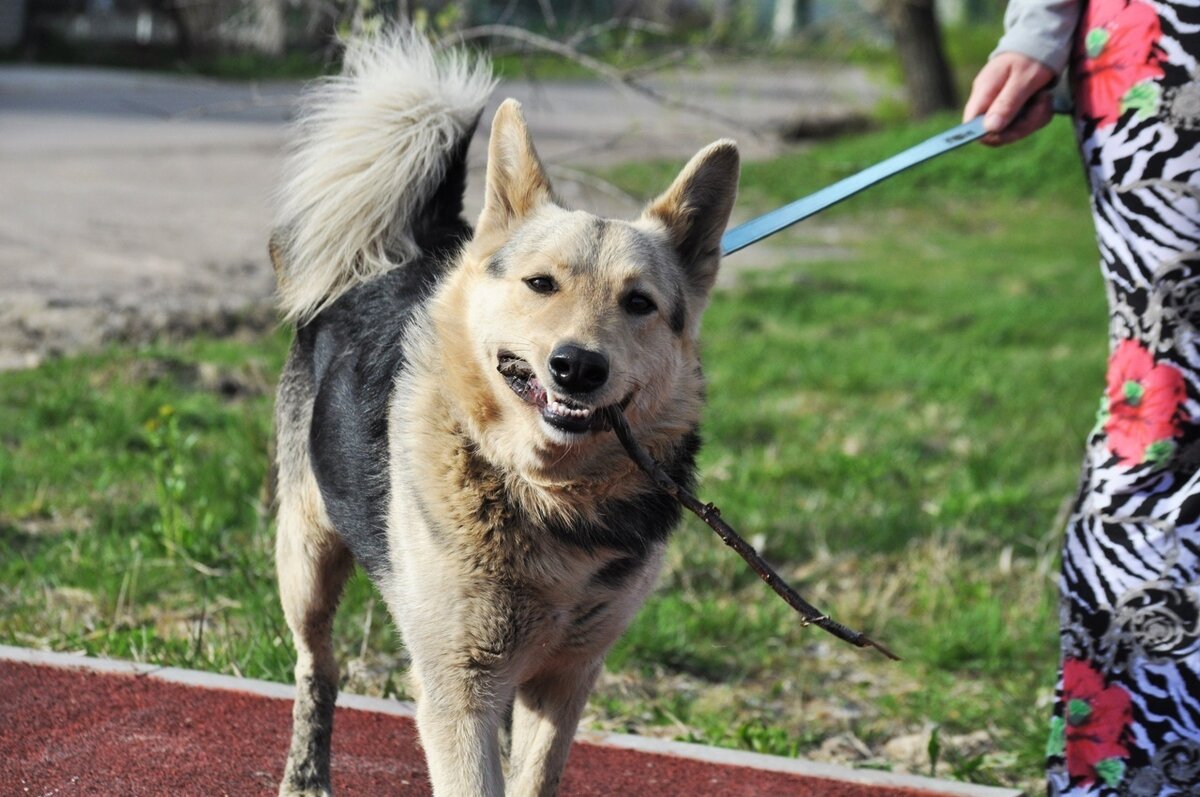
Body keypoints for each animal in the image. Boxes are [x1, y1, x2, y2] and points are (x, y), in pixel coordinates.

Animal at [273, 31, 739, 797]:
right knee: (319, 666)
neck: (548, 496)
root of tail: (418, 246)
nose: (577, 366)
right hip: (306, 558)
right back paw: (306, 772)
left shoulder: (567, 675)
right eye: (541, 284)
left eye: (638, 303)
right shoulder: (459, 685)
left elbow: (536, 776)